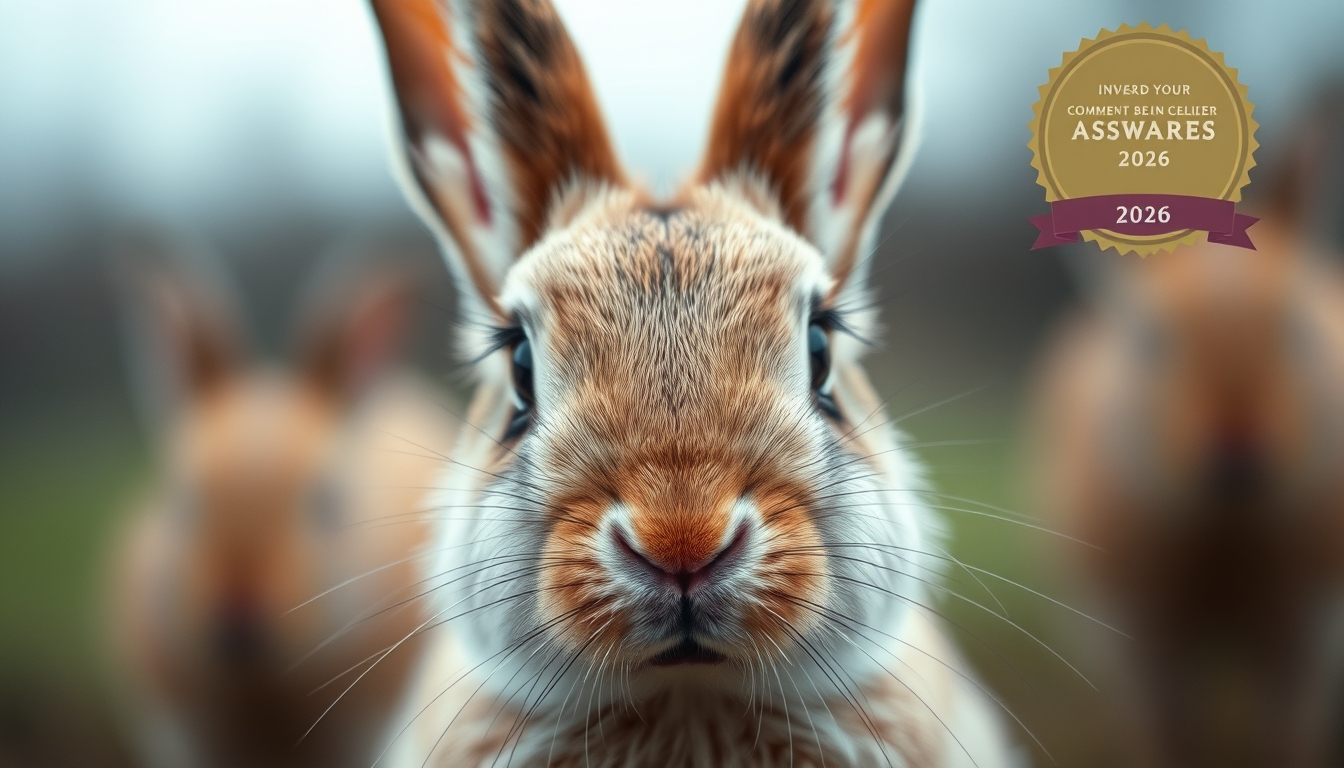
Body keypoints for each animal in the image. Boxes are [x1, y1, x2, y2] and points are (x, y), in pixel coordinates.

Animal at [1031, 111, 1344, 767]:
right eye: (1154, 340)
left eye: (1295, 330)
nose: (1238, 456)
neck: (1226, 529)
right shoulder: (1147, 648)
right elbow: (1169, 734)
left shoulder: (1304, 640)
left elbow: (1290, 733)